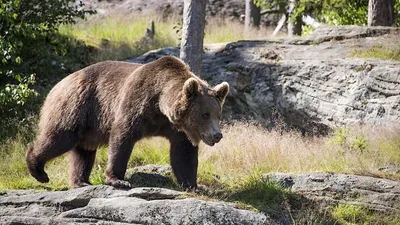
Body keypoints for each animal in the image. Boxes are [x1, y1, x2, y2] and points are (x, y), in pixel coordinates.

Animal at [26, 55, 230, 189]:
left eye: (218, 114)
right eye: (205, 114)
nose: (217, 135)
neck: (160, 105)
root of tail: (59, 83)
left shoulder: (177, 128)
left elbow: (184, 154)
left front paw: (194, 185)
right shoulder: (136, 103)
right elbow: (122, 136)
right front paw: (118, 179)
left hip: (89, 126)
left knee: (84, 151)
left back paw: (81, 181)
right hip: (77, 107)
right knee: (60, 138)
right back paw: (38, 170)